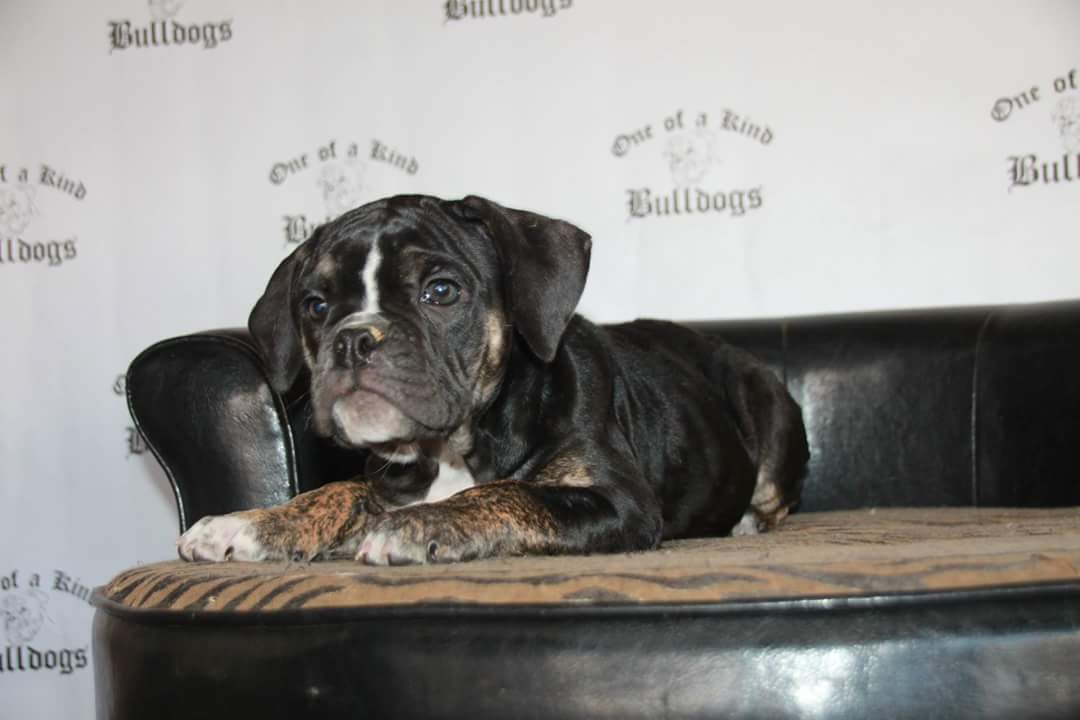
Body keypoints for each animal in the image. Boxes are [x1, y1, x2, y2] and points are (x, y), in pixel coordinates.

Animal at [177, 195, 809, 565]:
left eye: (441, 291)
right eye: (314, 305)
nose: (354, 338)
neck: (449, 448)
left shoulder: (619, 501)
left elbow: (510, 491)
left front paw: (420, 524)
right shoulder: (386, 477)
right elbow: (338, 490)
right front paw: (252, 523)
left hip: (767, 403)